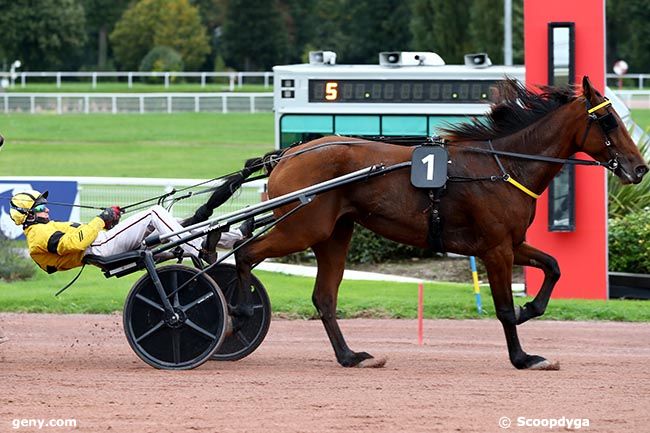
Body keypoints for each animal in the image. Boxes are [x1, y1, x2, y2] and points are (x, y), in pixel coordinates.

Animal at [233, 77, 644, 368]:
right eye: (608, 121)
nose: (640, 168)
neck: (505, 166)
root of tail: (286, 155)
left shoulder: (511, 243)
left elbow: (554, 266)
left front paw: (530, 310)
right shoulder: (496, 249)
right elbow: (504, 308)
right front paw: (523, 357)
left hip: (333, 234)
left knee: (324, 297)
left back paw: (350, 356)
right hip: (301, 228)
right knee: (243, 251)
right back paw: (239, 311)